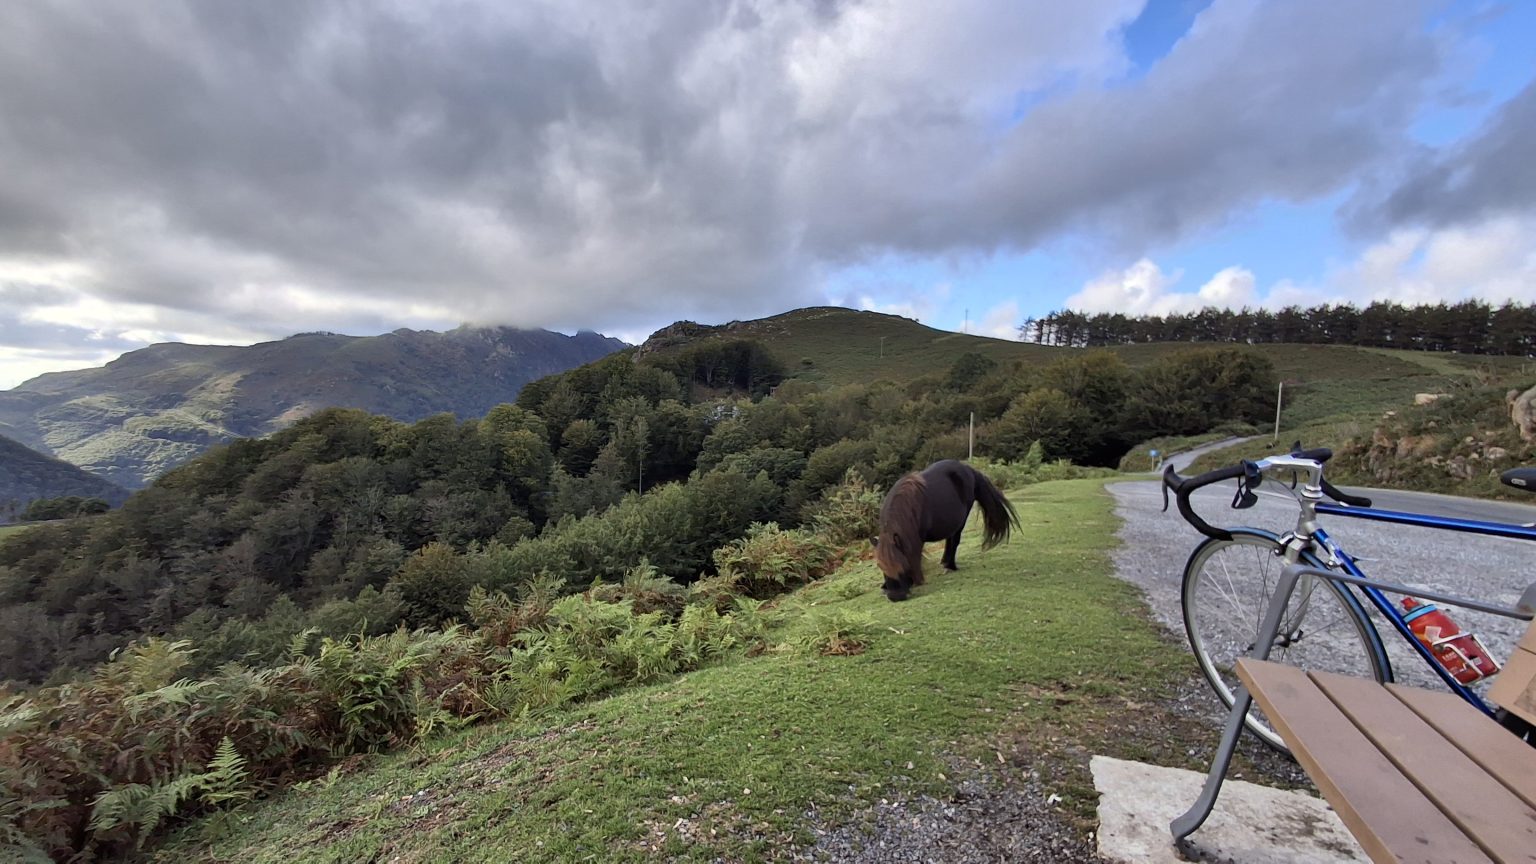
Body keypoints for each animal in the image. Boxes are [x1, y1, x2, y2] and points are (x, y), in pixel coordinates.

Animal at [872, 459, 1020, 602]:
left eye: (902, 563)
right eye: (880, 565)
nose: (895, 596)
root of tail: (968, 469)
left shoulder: (916, 539)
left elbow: (916, 555)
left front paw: (915, 579)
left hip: (962, 518)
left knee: (954, 541)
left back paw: (950, 566)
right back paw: (945, 562)